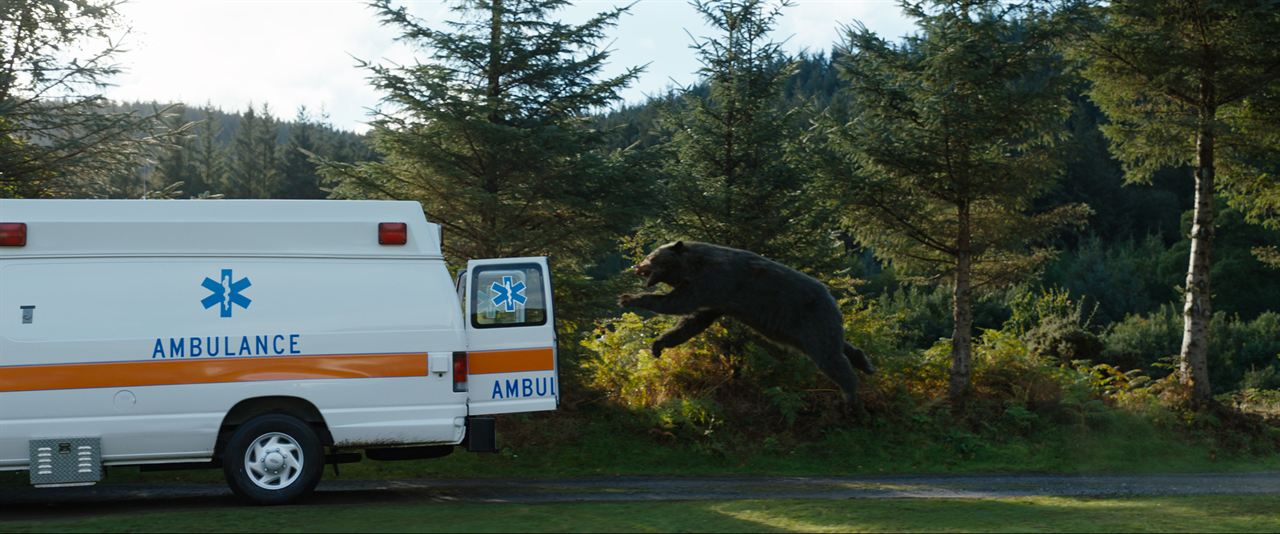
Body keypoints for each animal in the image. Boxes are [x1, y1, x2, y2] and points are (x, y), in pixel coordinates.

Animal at [614, 240, 875, 399]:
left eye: (651, 256)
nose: (638, 266)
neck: (692, 267)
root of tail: (832, 297)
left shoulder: (714, 281)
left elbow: (677, 304)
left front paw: (628, 298)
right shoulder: (716, 301)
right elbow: (692, 322)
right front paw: (658, 345)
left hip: (810, 319)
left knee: (830, 357)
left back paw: (850, 393)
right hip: (804, 330)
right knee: (838, 346)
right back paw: (865, 363)